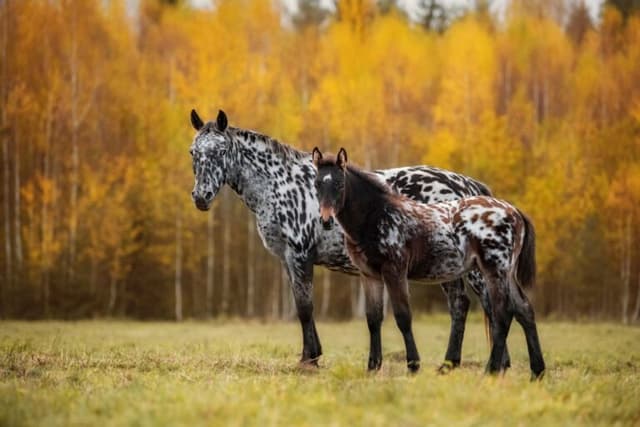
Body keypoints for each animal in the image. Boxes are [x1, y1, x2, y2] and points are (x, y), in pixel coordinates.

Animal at [188, 109, 512, 371]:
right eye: (193, 152)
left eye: (220, 150)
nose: (201, 197)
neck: (280, 184)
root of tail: (467, 185)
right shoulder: (287, 259)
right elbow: (301, 305)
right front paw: (312, 354)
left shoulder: (300, 254)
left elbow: (305, 307)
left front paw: (309, 361)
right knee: (461, 305)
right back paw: (451, 364)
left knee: (489, 304)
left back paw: (495, 364)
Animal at [311, 147, 545, 380]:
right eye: (317, 184)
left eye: (340, 184)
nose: (326, 221)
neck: (377, 216)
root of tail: (514, 211)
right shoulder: (369, 276)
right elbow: (373, 319)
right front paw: (372, 367)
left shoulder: (395, 271)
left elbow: (403, 317)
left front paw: (413, 366)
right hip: (506, 273)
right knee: (524, 310)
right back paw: (536, 372)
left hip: (494, 271)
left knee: (502, 314)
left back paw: (491, 371)